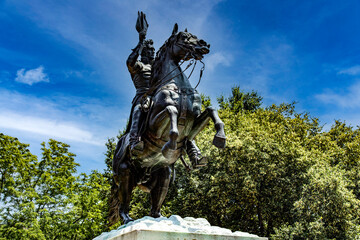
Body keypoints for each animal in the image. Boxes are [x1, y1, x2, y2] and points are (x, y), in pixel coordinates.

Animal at [109, 23, 226, 225]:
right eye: (183, 37)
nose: (204, 44)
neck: (178, 86)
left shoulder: (194, 119)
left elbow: (211, 110)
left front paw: (219, 138)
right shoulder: (156, 122)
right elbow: (172, 111)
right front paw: (170, 144)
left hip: (163, 171)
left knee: (158, 196)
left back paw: (159, 217)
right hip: (124, 171)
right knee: (124, 199)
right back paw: (127, 219)